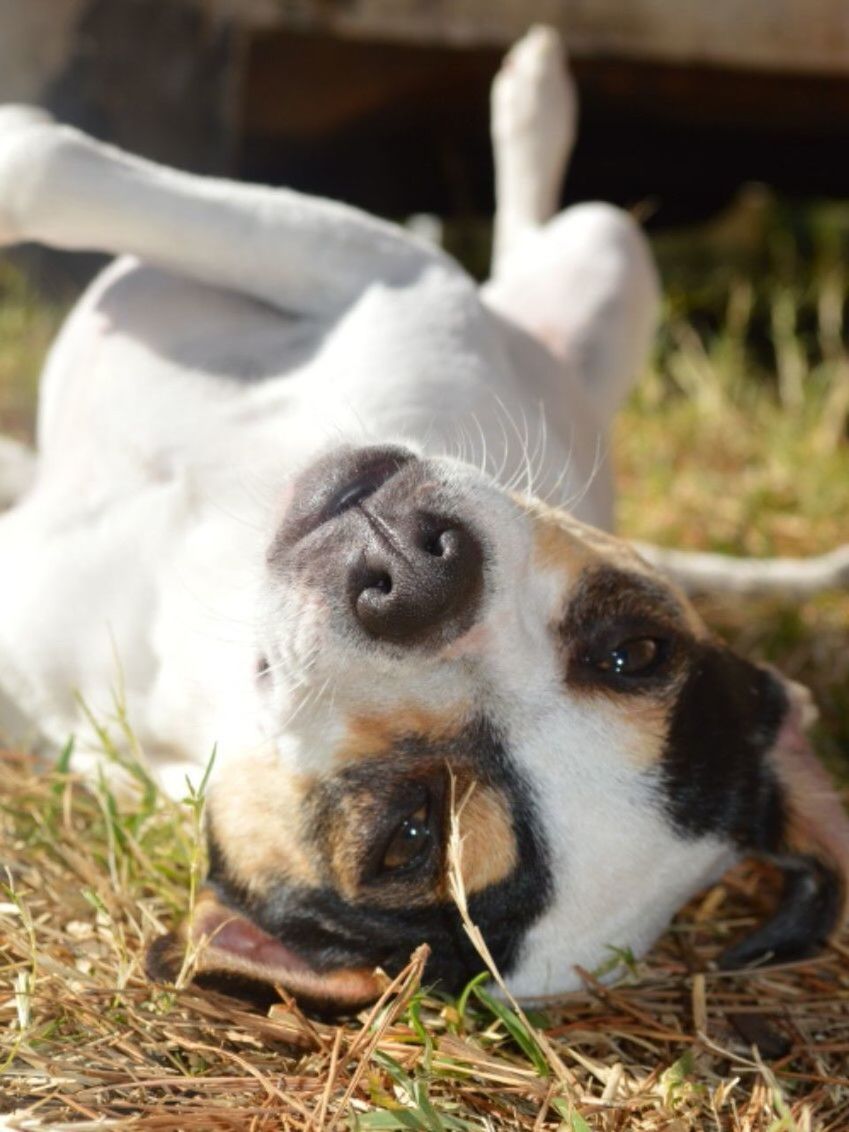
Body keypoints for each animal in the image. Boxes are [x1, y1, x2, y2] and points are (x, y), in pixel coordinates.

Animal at [1, 26, 849, 1005]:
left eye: (409, 837)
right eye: (633, 653)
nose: (413, 576)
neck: (206, 573)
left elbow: (35, 159)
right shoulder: (382, 269)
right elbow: (41, 167)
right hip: (604, 244)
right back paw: (532, 96)